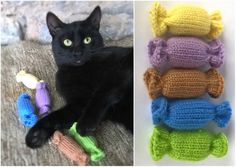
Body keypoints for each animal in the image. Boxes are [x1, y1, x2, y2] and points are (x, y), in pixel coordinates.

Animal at [26, 5, 134, 148]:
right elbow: (58, 116)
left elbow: (101, 94)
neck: (81, 70)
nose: (77, 52)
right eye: (67, 42)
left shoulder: (121, 69)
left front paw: (85, 125)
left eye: (87, 40)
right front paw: (37, 134)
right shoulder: (78, 103)